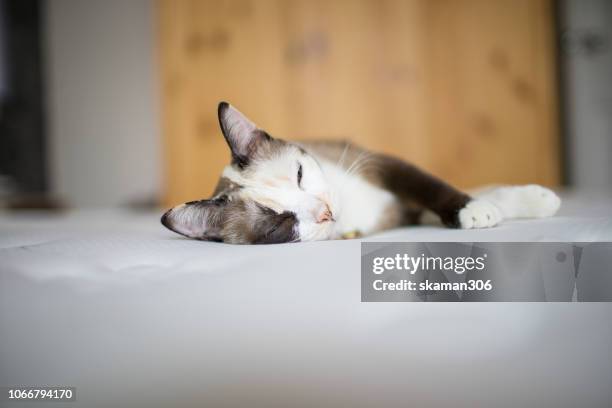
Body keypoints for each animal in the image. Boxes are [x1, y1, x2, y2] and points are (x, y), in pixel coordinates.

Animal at [160, 102, 560, 244]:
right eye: (280, 225)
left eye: (300, 174)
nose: (325, 212)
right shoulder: (401, 213)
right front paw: (484, 210)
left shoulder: (383, 165)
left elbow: (434, 187)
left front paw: (513, 203)